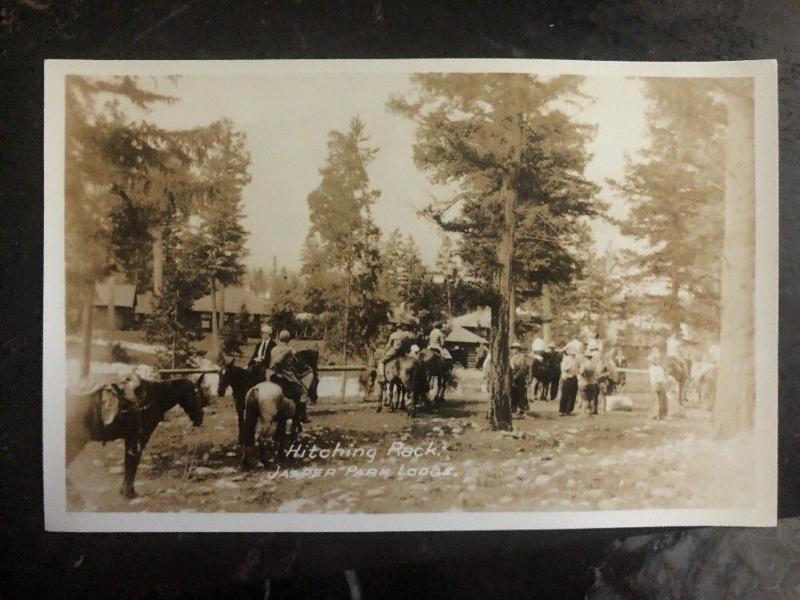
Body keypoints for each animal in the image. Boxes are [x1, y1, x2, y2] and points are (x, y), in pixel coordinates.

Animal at [66, 376, 208, 496]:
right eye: (199, 394)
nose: (200, 419)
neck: (155, 398)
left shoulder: (130, 439)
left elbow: (129, 462)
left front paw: (125, 490)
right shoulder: (139, 438)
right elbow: (133, 463)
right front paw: (129, 492)